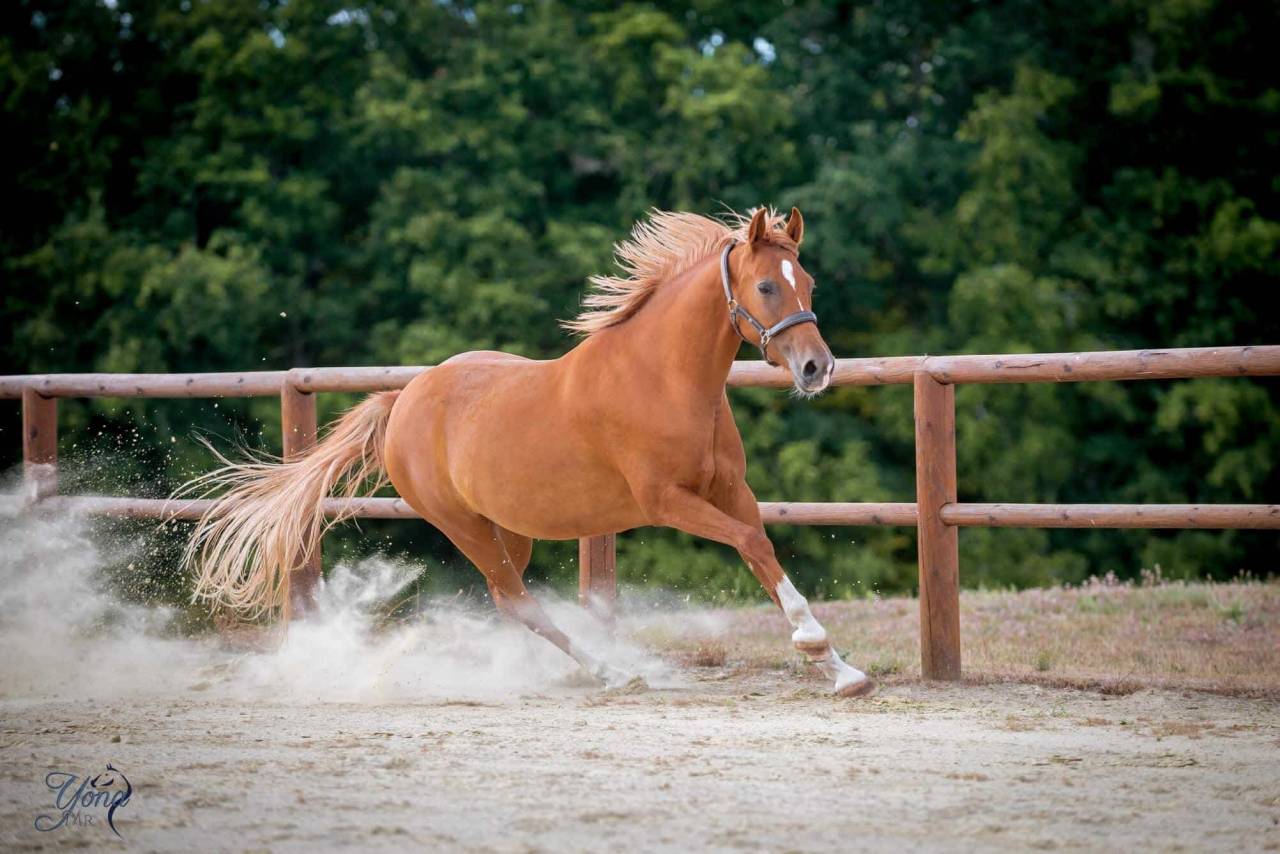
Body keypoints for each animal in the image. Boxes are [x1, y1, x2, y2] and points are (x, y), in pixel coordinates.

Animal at [181, 206, 874, 697]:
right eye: (766, 287)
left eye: (808, 282)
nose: (817, 368)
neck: (664, 378)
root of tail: (404, 400)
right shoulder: (666, 501)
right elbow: (753, 543)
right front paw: (816, 646)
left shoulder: (730, 490)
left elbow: (763, 552)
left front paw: (841, 669)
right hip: (462, 525)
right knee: (514, 599)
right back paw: (610, 671)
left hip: (508, 526)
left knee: (507, 600)